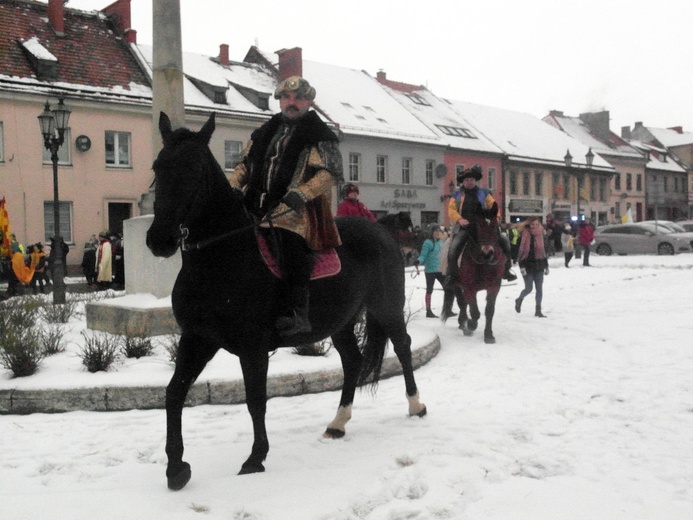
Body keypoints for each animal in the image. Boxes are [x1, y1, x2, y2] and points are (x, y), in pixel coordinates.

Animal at [147, 114, 428, 492]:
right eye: (158, 166)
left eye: (194, 170)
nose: (158, 239)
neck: (221, 259)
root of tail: (383, 234)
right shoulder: (197, 339)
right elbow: (174, 393)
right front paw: (176, 467)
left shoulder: (252, 347)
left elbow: (255, 401)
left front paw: (255, 459)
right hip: (341, 320)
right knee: (353, 361)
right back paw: (338, 422)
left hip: (387, 307)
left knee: (402, 347)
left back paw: (415, 404)